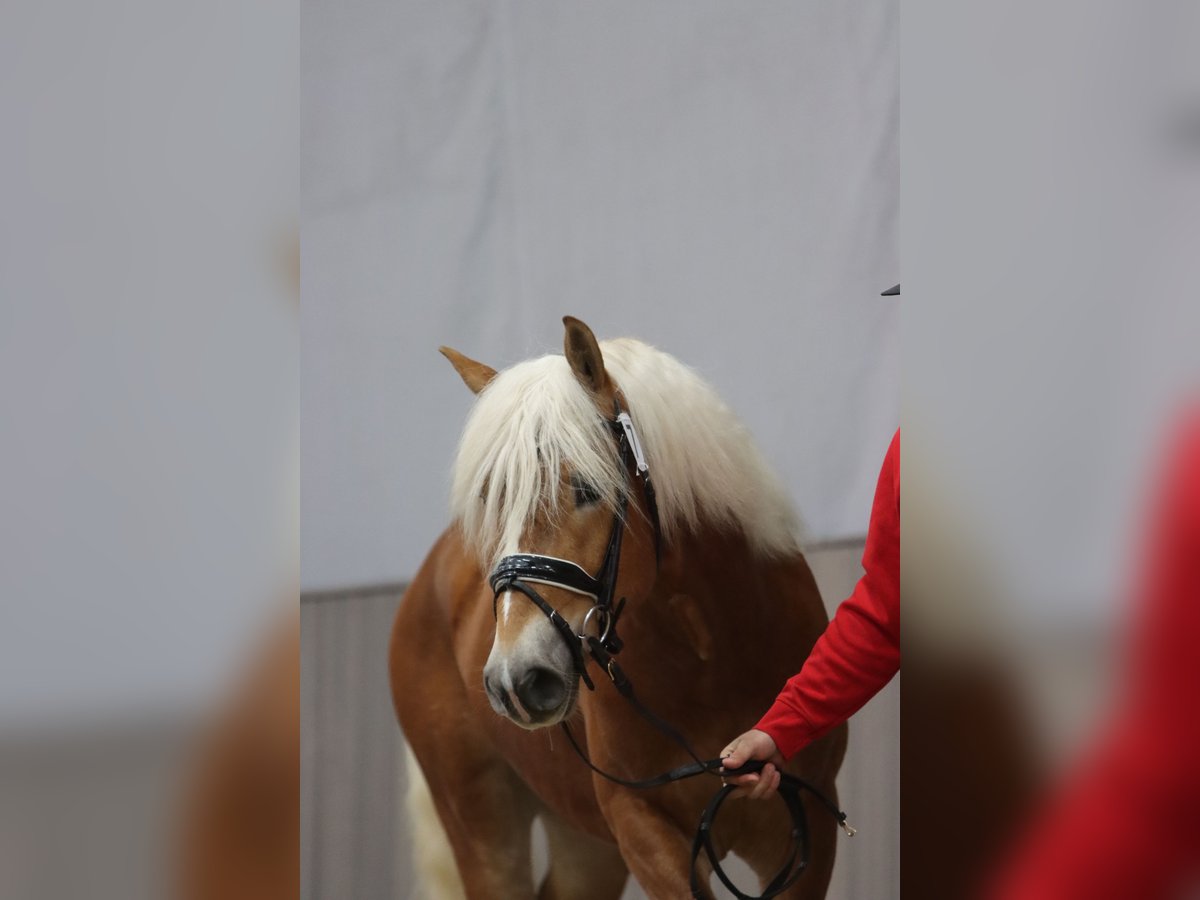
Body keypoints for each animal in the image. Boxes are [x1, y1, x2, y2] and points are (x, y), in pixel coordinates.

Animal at [389, 317, 847, 899]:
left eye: (587, 487)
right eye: (494, 499)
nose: (516, 680)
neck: (708, 657)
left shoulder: (808, 822)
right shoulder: (641, 827)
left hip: (583, 841)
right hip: (482, 825)